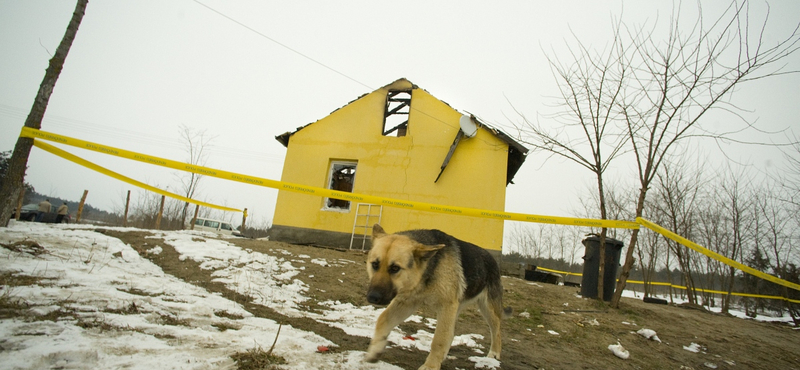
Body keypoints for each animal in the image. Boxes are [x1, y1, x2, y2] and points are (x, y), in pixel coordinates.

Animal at [364, 224, 510, 368]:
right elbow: (382, 320)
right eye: (375, 264)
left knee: (496, 329)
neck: (427, 270)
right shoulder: (406, 303)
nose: (372, 297)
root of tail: (491, 258)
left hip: (487, 308)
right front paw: (375, 350)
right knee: (451, 333)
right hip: (456, 309)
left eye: (395, 268)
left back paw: (494, 353)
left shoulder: (446, 306)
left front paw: (431, 366)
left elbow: (439, 339)